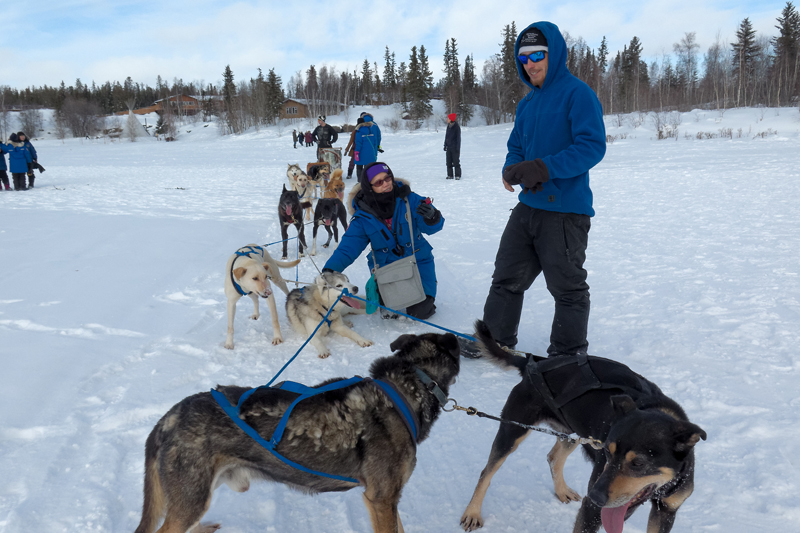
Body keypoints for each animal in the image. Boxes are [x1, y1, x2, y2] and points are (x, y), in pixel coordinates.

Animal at [462, 320, 708, 532]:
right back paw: (472, 513)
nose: (596, 496)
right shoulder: (592, 510)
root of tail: (533, 362)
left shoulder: (666, 510)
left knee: (553, 457)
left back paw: (562, 491)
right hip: (513, 430)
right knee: (487, 472)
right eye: (607, 453)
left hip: (574, 433)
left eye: (639, 463)